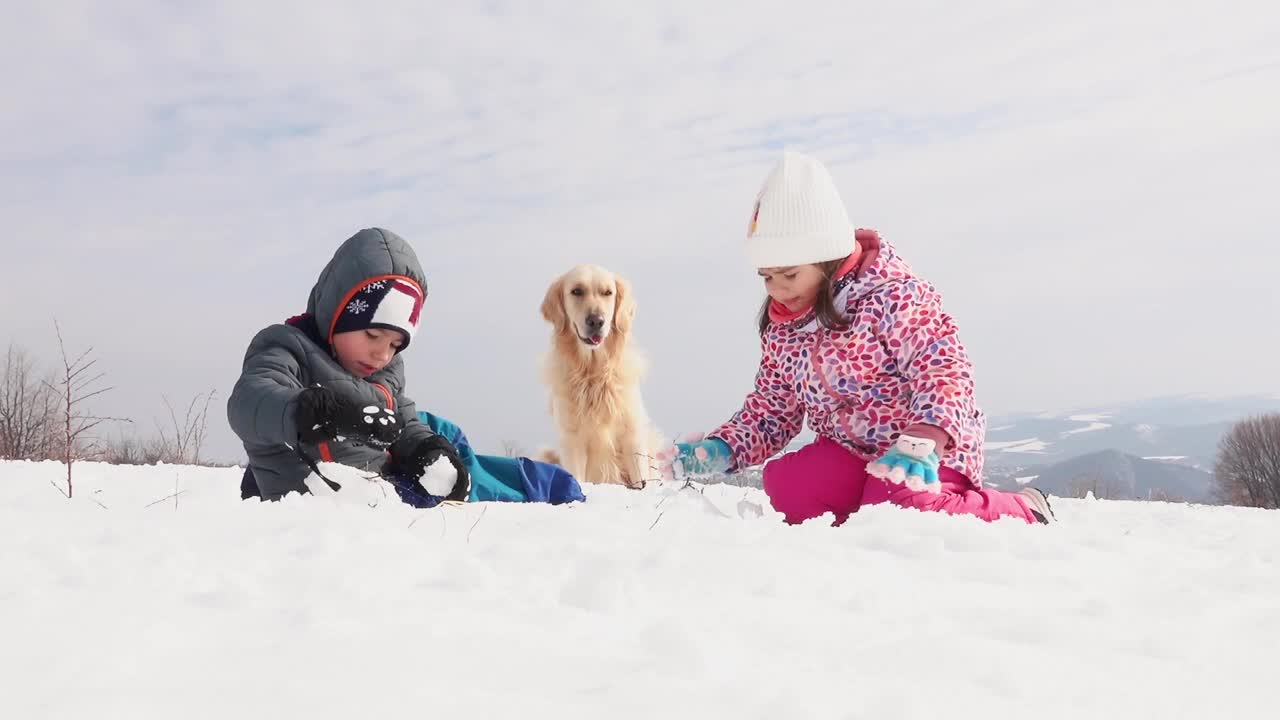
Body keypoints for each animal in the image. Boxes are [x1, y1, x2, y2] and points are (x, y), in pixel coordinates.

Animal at [535, 263, 665, 486]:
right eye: (577, 291)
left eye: (608, 293)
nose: (596, 321)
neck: (593, 373)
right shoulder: (572, 439)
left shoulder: (632, 435)